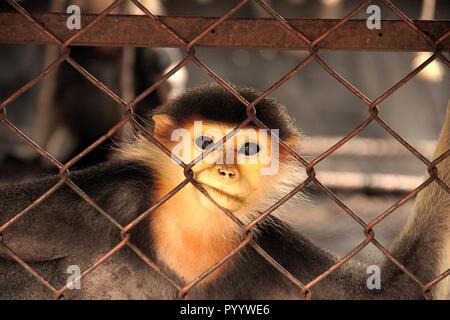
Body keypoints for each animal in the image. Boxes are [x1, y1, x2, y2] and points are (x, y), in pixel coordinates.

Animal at [0, 84, 448, 298]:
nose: (225, 170)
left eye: (248, 149)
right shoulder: (112, 201)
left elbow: (398, 291)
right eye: (206, 143)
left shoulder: (266, 248)